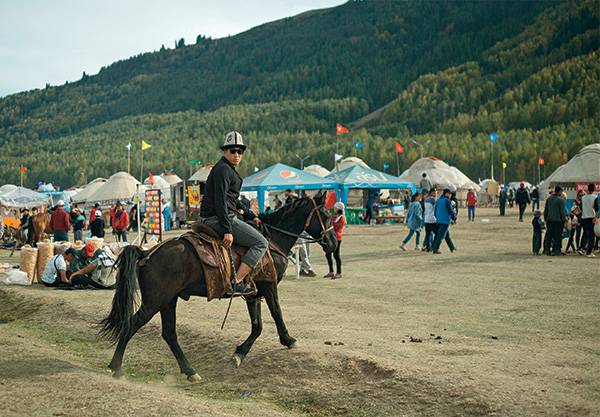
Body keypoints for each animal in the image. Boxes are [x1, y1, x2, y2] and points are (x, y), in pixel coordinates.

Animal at [98, 191, 338, 380]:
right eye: (326, 215)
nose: (333, 243)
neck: (272, 242)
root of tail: (148, 253)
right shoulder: (269, 287)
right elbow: (276, 314)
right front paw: (288, 340)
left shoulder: (254, 293)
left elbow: (257, 325)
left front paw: (239, 353)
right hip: (155, 301)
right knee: (132, 324)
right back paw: (116, 367)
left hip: (168, 300)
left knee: (169, 334)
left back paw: (190, 371)